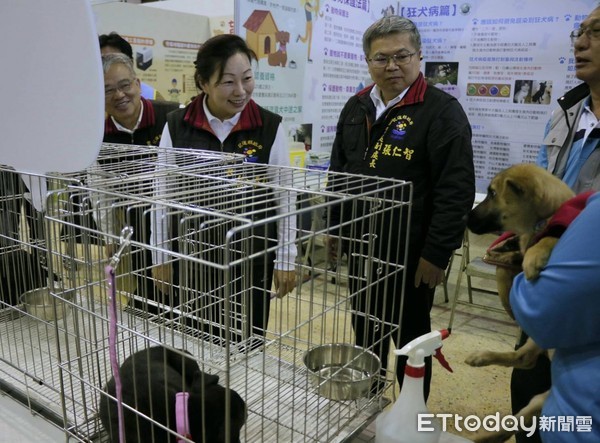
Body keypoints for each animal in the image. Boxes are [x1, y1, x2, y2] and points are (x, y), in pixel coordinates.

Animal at [462, 164, 576, 443]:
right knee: (525, 362)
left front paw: (532, 258)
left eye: (492, 193)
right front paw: (513, 255)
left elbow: (550, 239)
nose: (465, 218)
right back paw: (481, 358)